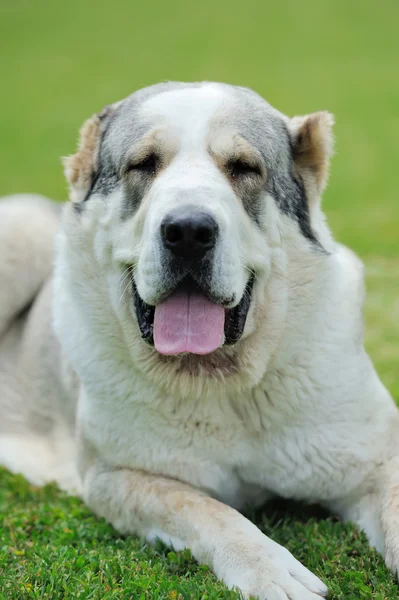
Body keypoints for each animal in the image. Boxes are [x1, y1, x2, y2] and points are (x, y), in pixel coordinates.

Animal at [0, 81, 399, 600]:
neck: (225, 383)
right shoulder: (118, 477)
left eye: (244, 168)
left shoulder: (377, 459)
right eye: (143, 164)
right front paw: (271, 570)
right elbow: (209, 511)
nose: (188, 230)